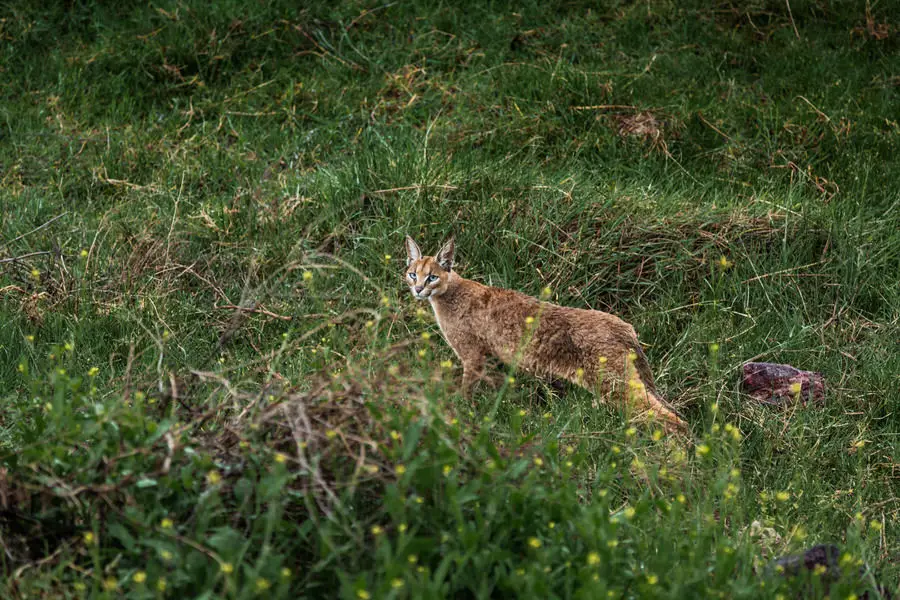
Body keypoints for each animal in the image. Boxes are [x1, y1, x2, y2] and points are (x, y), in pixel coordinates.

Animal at [404, 233, 684, 432]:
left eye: (432, 277)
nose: (418, 289)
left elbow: (466, 390)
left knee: (672, 419)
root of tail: (622, 324)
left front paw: (459, 412)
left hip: (612, 382)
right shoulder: (490, 358)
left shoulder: (472, 356)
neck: (450, 293)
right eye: (412, 274)